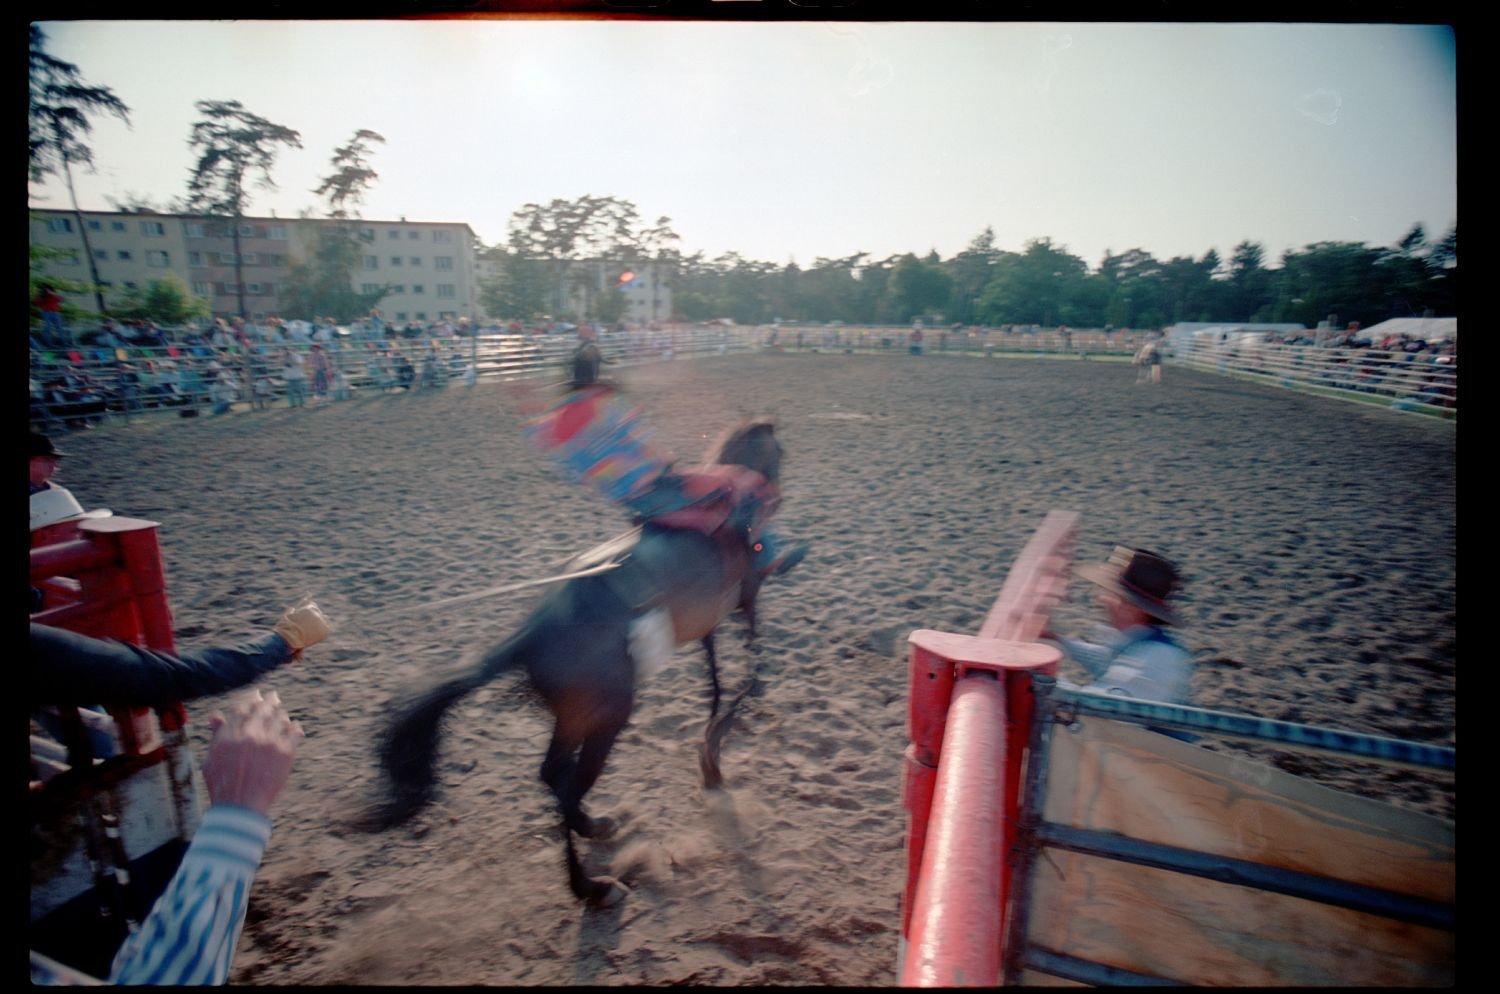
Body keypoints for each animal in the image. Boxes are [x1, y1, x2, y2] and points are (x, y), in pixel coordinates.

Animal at [370, 422, 792, 905]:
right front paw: (715, 755)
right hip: (606, 716)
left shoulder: (711, 626)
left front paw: (710, 751)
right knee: (568, 783)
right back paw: (590, 884)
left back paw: (592, 830)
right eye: (781, 452)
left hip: (572, 719)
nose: (779, 496)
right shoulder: (748, 602)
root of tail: (528, 635)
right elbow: (748, 678)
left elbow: (716, 683)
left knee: (552, 775)